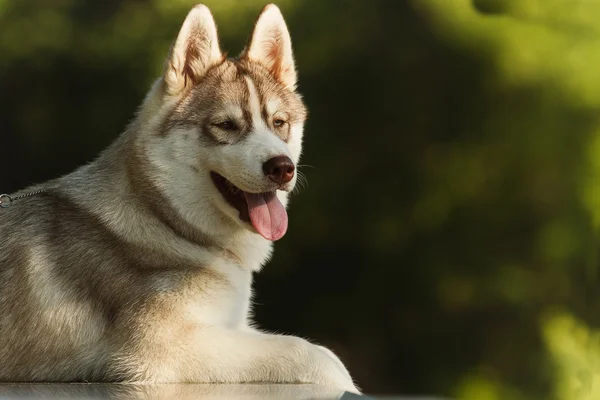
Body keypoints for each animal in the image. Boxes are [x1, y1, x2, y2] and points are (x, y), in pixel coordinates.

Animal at [0, 3, 356, 394]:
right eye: (226, 125)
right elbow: (320, 357)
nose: (282, 168)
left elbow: (324, 355)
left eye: (279, 123)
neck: (164, 220)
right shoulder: (161, 350)